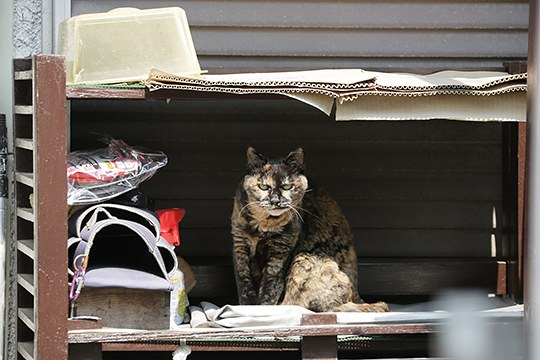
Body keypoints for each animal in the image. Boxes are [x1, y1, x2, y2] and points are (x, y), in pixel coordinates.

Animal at [231, 147, 388, 312]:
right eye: (263, 187)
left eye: (287, 187)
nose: (275, 201)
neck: (265, 225)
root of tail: (356, 295)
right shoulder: (240, 248)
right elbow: (244, 285)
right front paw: (246, 308)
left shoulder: (280, 254)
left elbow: (271, 287)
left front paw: (261, 309)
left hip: (304, 259)